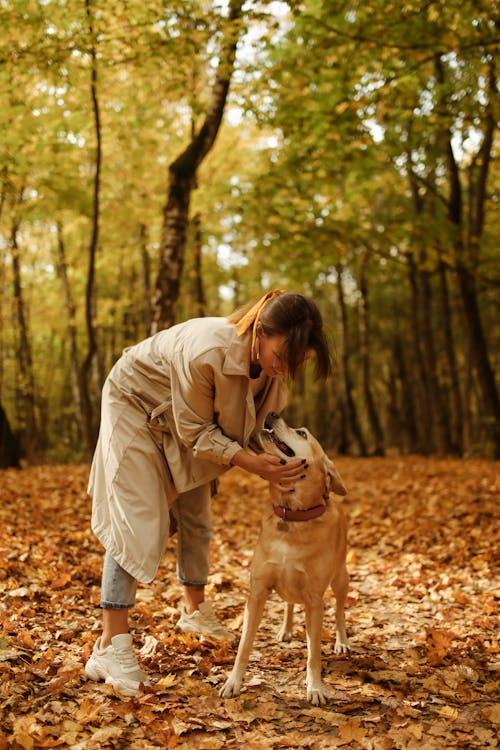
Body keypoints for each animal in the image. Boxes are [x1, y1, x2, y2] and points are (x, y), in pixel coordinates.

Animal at [221, 414, 350, 708]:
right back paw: (287, 629)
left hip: (340, 579)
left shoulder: (315, 600)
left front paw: (315, 688)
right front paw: (233, 681)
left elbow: (314, 653)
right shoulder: (257, 592)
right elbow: (244, 645)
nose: (272, 415)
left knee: (339, 611)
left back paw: (341, 641)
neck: (292, 517)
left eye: (302, 433)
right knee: (290, 603)